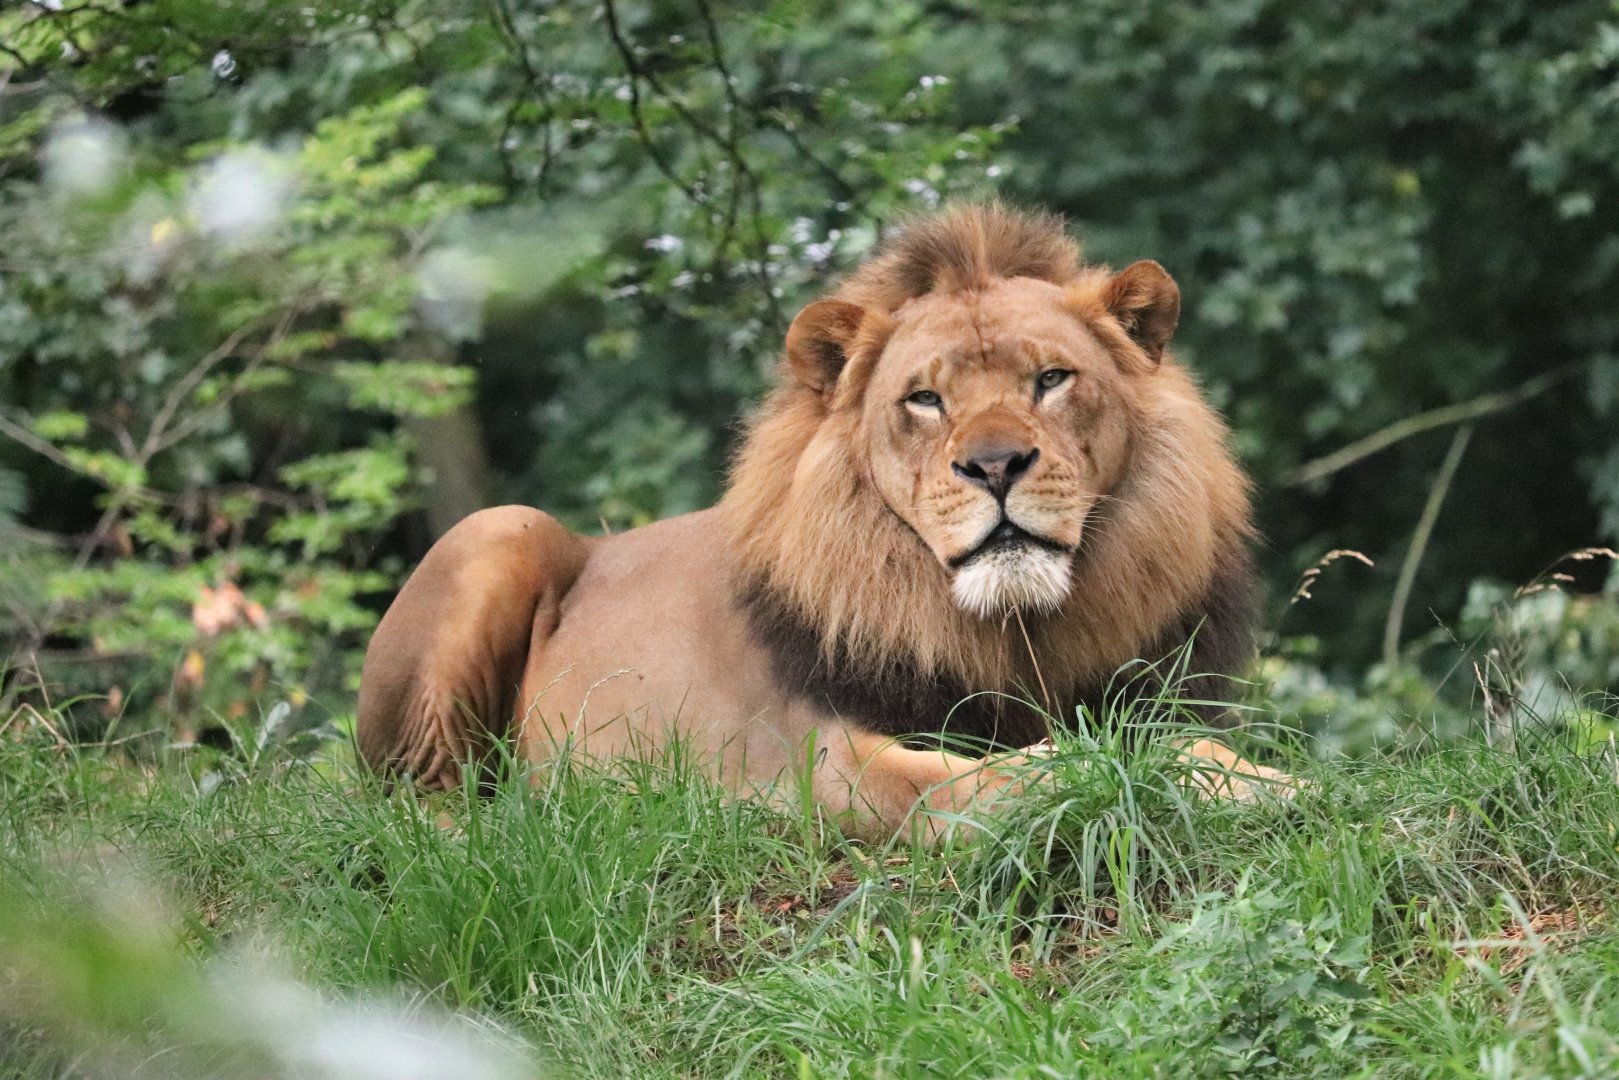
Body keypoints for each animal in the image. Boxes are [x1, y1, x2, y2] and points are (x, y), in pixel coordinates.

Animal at [357, 203, 1284, 842]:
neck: (1018, 634)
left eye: (1051, 379)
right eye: (924, 398)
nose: (993, 466)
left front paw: (1278, 785)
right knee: (414, 806)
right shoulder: (820, 764)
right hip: (498, 530)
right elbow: (1037, 767)